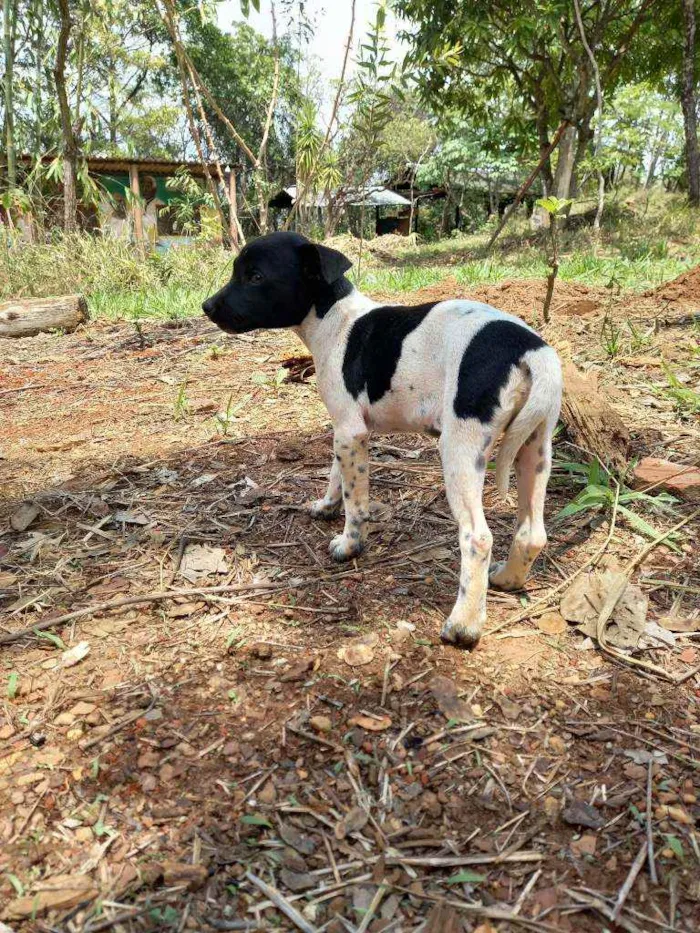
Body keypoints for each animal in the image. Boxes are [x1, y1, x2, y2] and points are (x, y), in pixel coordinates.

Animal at [202, 231, 564, 648]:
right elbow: (336, 477)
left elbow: (355, 502)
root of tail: (529, 350)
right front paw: (325, 506)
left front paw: (349, 544)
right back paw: (507, 579)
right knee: (533, 533)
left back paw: (464, 624)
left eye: (255, 276)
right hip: (534, 449)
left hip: (460, 450)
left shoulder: (350, 431)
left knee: (477, 537)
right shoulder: (347, 430)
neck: (335, 318)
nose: (206, 307)